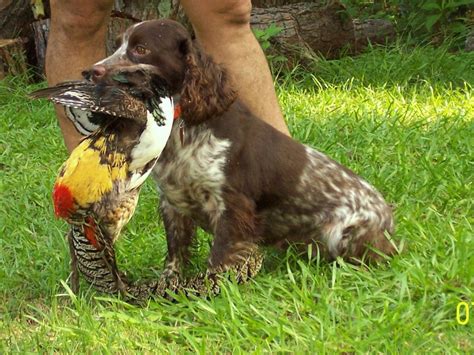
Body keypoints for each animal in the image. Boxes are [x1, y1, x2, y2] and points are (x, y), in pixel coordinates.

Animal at [86, 20, 396, 284]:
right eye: (117, 45)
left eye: (141, 49)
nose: (89, 72)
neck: (184, 129)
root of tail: (389, 223)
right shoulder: (173, 204)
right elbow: (175, 253)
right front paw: (167, 285)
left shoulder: (232, 206)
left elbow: (221, 255)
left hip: (342, 232)